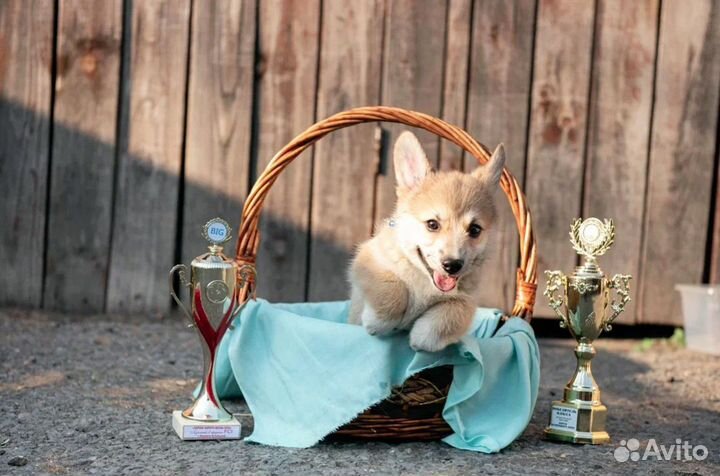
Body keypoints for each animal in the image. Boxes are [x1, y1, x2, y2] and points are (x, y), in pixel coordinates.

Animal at [346, 132, 504, 352]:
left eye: (474, 230)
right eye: (432, 224)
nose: (452, 266)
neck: (424, 281)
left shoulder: (467, 300)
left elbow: (453, 312)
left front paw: (422, 338)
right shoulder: (368, 261)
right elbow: (391, 288)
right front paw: (378, 322)